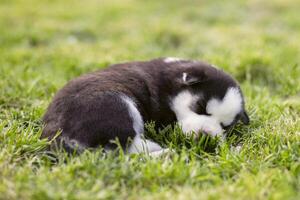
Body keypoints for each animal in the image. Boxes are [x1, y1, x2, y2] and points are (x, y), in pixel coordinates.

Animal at [41, 57, 250, 155]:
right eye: (199, 107)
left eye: (225, 126)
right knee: (121, 150)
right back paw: (163, 152)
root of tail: (54, 136)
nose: (205, 136)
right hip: (117, 105)